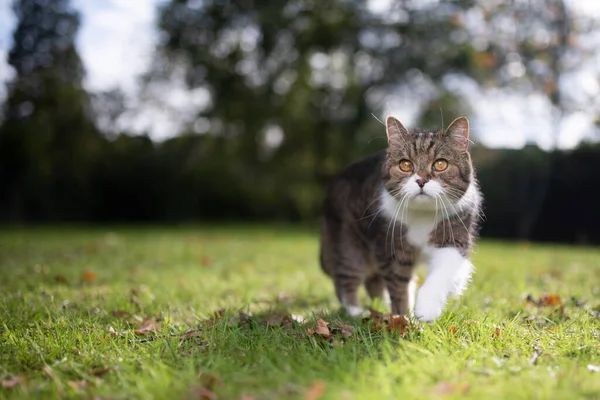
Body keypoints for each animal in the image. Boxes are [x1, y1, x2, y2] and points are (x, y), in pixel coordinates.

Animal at [318, 115, 482, 322]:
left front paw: (425, 309)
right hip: (349, 246)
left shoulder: (455, 233)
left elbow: (442, 271)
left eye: (440, 164)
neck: (422, 214)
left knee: (373, 281)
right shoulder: (391, 244)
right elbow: (398, 284)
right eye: (406, 165)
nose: (421, 181)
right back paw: (356, 311)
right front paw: (402, 317)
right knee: (347, 279)